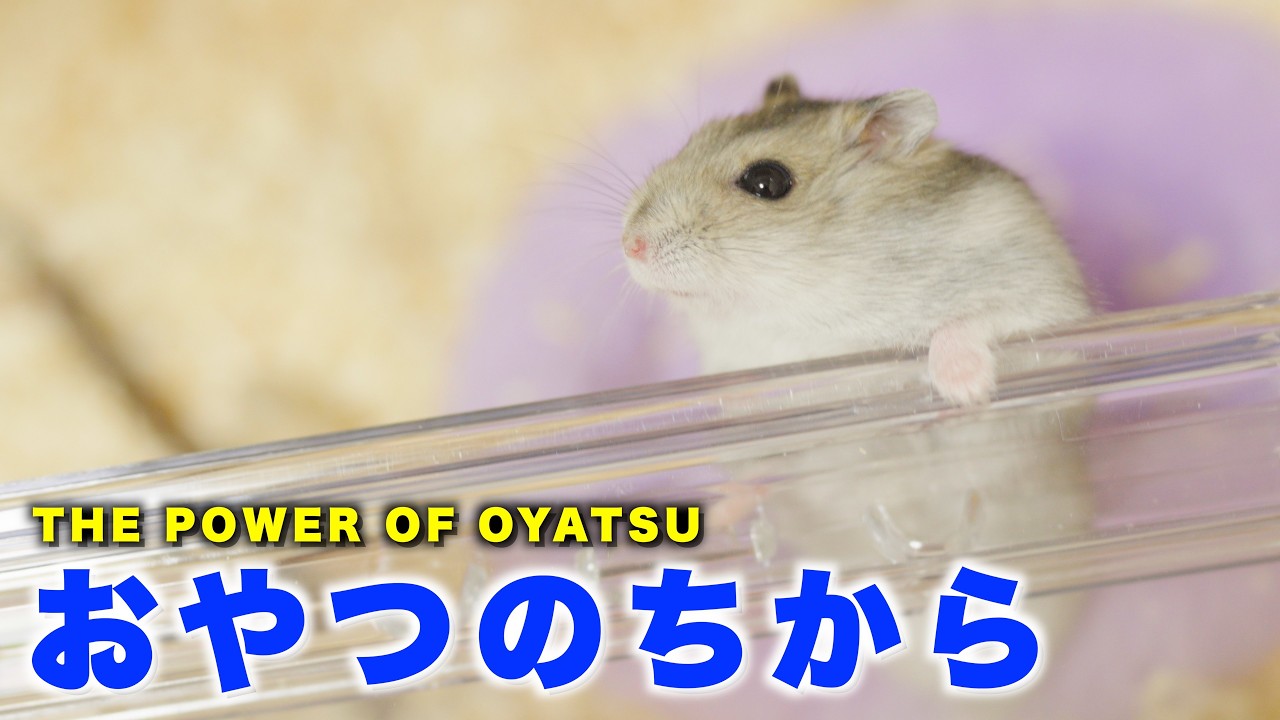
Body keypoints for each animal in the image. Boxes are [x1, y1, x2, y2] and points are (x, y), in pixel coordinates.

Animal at [621, 75, 1091, 404]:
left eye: (766, 182)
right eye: (694, 140)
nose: (630, 246)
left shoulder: (1047, 298)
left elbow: (970, 321)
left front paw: (968, 393)